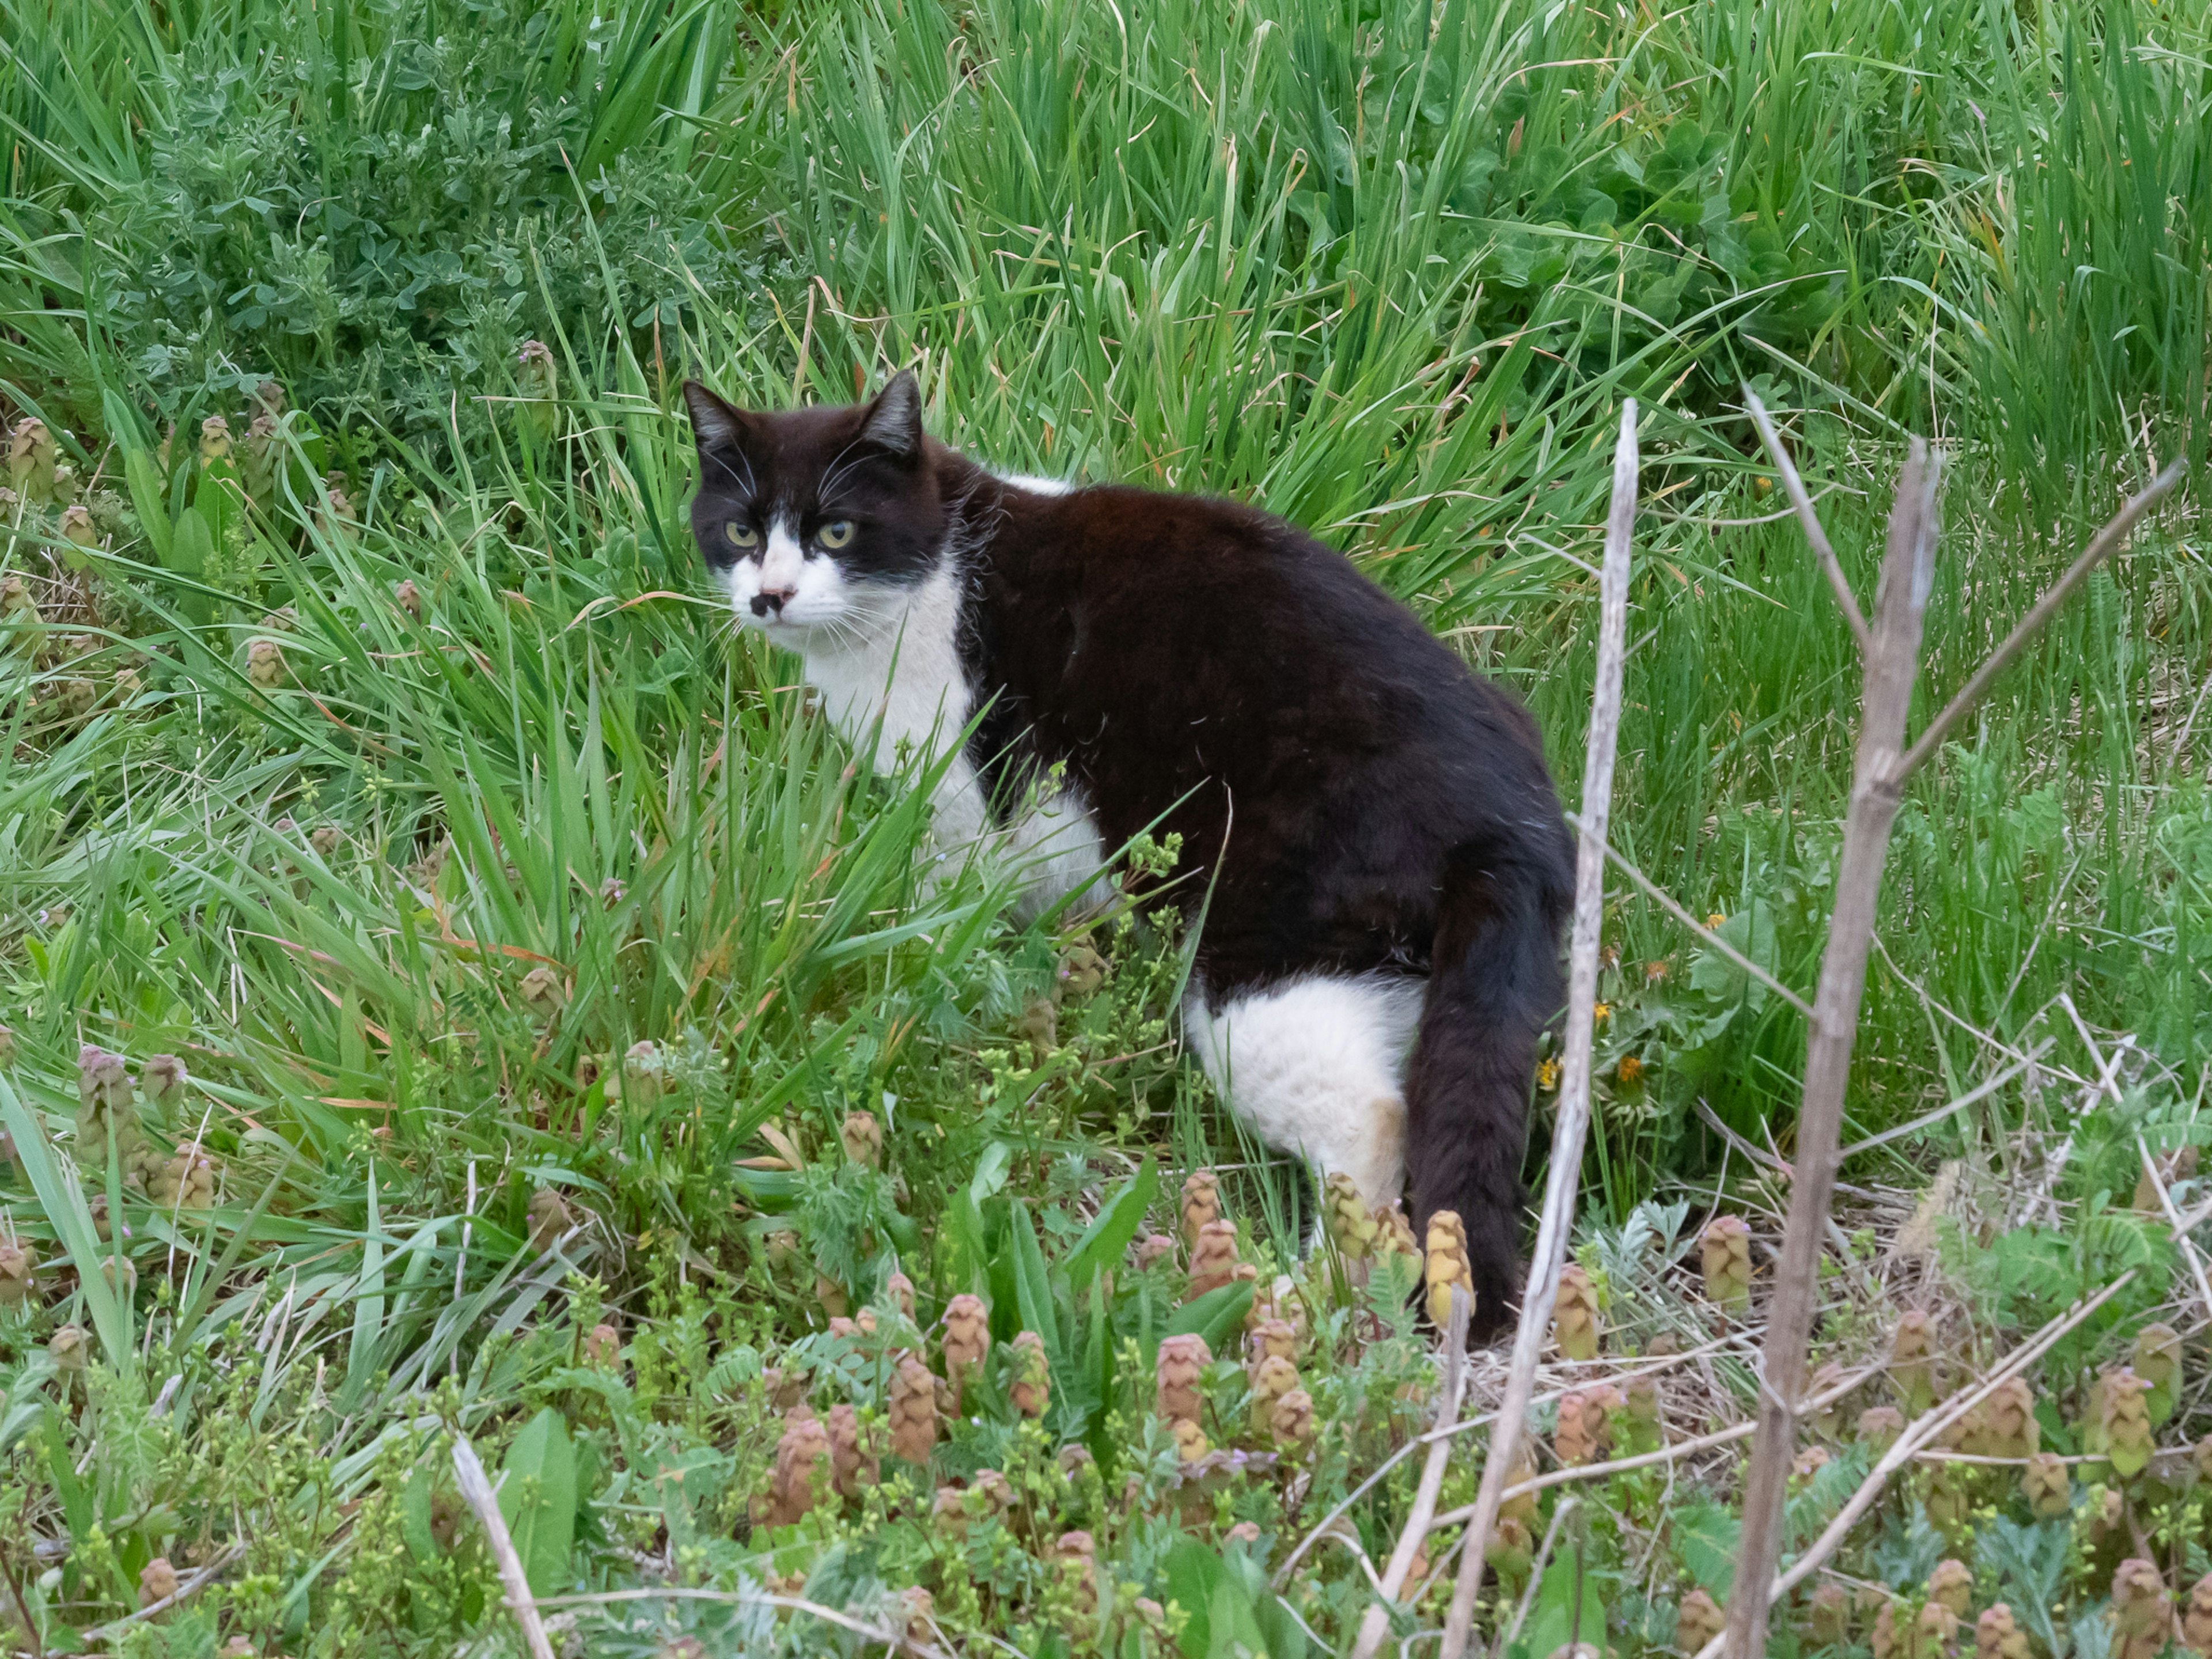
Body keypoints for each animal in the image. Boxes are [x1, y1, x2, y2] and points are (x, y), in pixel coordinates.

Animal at [681, 367, 1566, 1336]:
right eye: (741, 531)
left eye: (835, 530)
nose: (769, 595)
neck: (934, 572)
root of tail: (1515, 821)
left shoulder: (962, 812)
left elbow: (936, 929)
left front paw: (912, 996)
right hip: (1389, 976)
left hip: (1259, 958)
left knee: (1371, 1119)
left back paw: (1289, 1304)